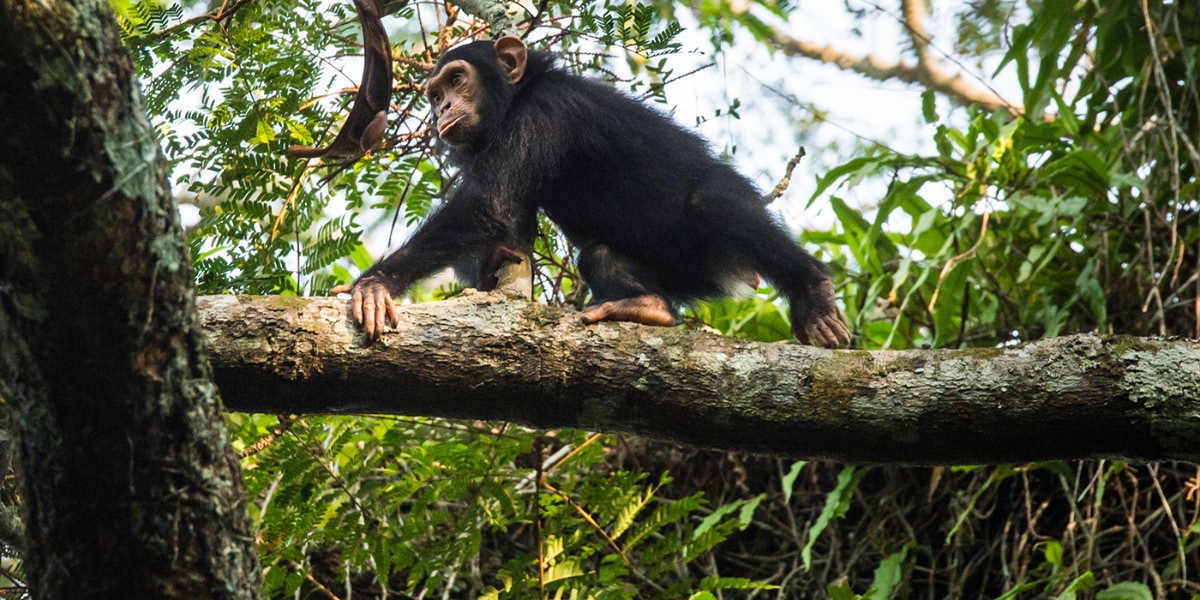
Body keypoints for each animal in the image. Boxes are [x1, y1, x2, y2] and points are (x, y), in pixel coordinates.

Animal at [333, 37, 849, 348]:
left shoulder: (544, 113)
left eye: (456, 80)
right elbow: (501, 224)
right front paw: (494, 260)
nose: (441, 109)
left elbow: (484, 206)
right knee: (602, 256)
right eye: (435, 94)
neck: (517, 97)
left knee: (715, 202)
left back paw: (814, 293)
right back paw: (650, 308)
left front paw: (375, 285)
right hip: (683, 276)